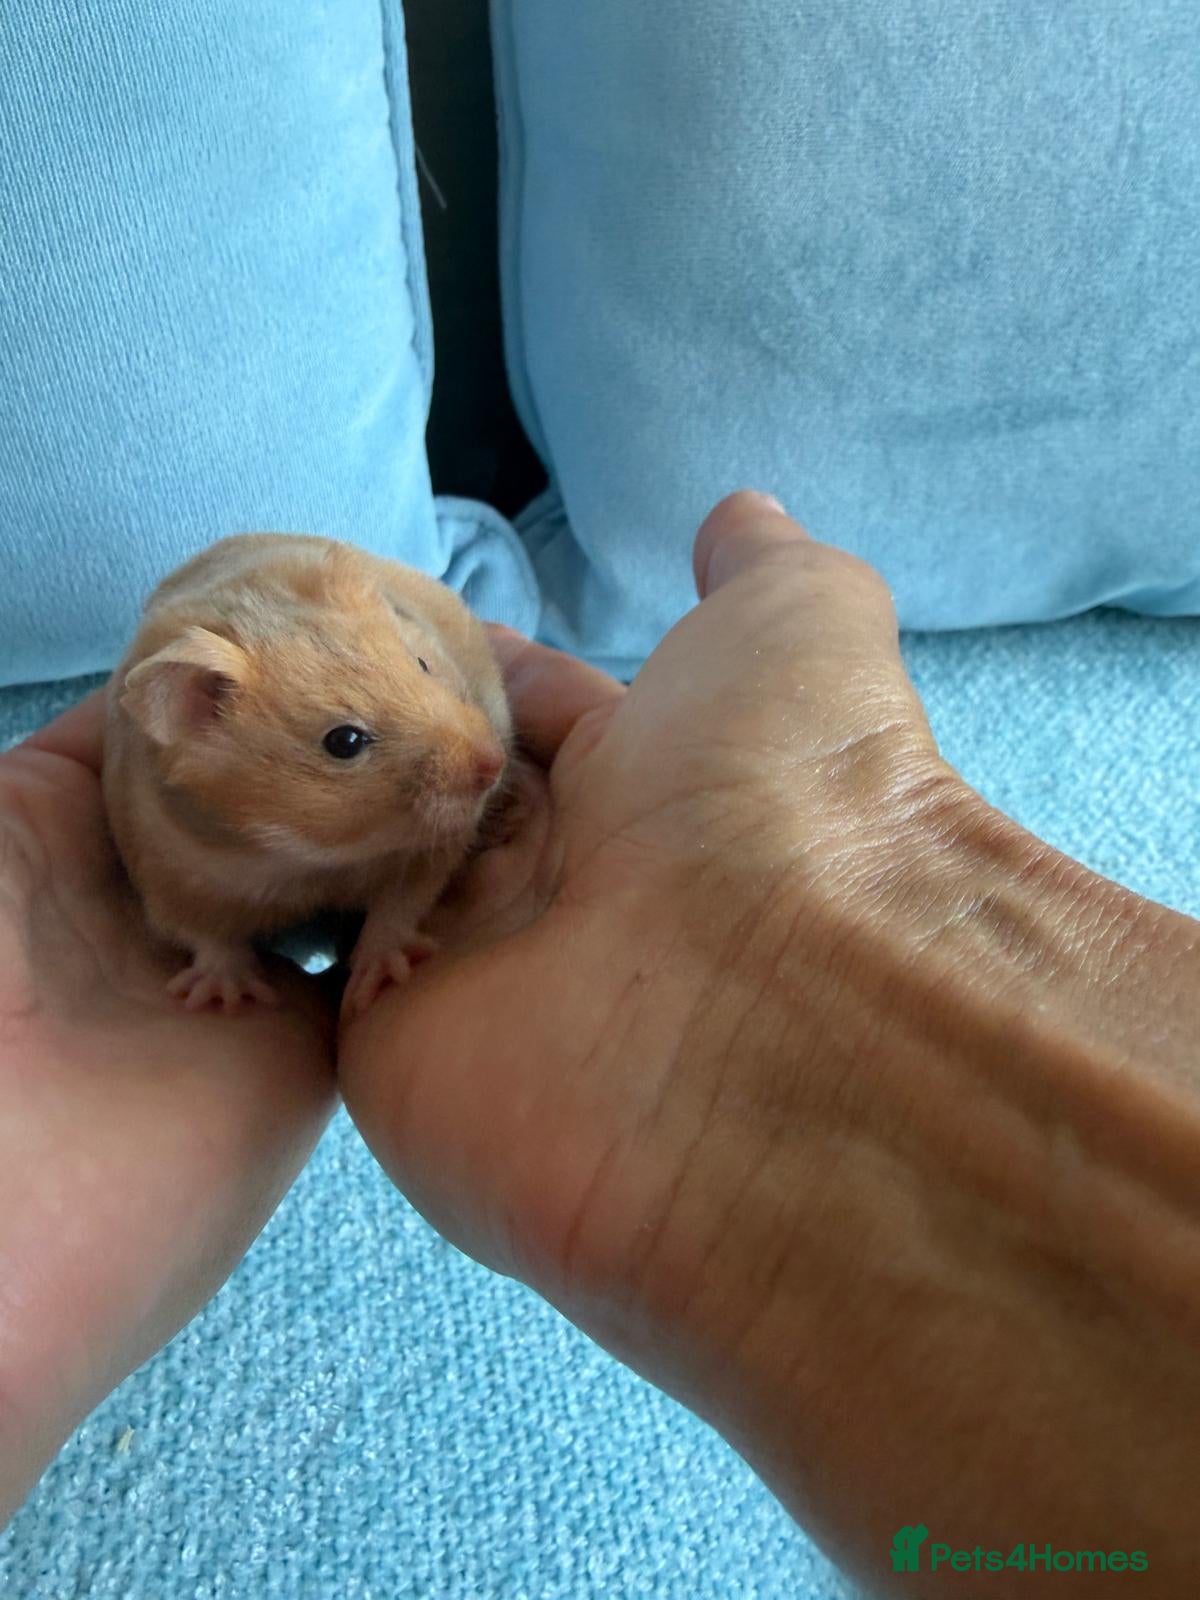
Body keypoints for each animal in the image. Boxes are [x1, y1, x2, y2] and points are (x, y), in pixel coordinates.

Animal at [102, 532, 512, 1019]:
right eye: (345, 741)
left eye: (423, 664)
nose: (494, 763)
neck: (305, 857)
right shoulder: (169, 875)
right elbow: (205, 937)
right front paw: (227, 997)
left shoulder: (423, 855)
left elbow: (399, 906)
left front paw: (377, 978)